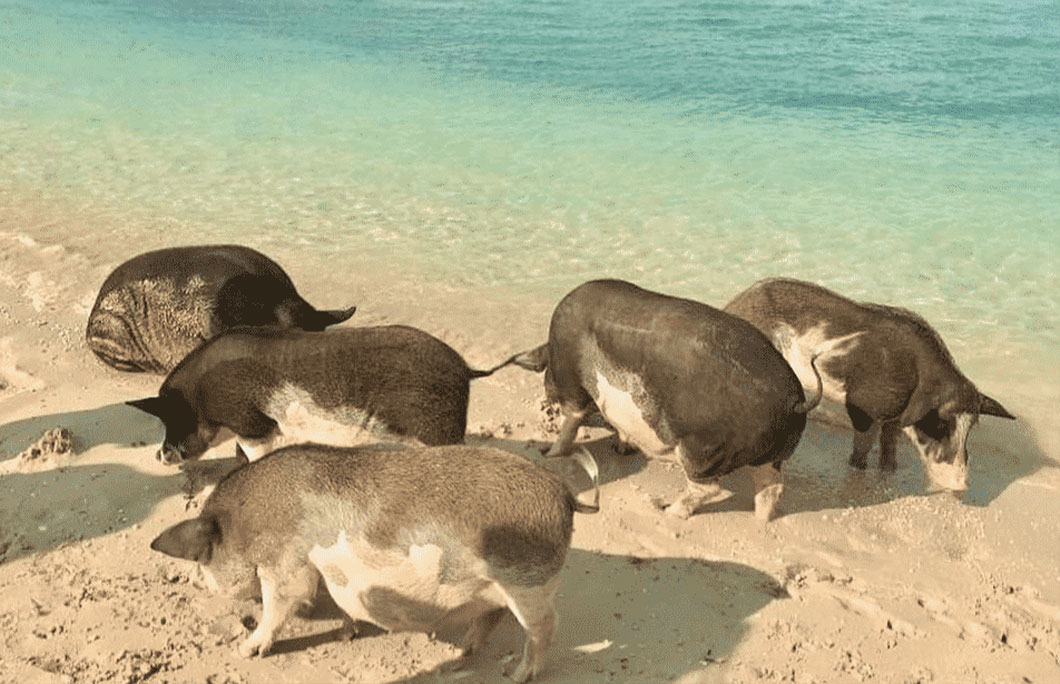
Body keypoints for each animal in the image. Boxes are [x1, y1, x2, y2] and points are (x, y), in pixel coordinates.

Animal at [128, 324, 517, 464]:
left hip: (438, 430)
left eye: (171, 417)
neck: (199, 394)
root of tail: (466, 369)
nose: (159, 456)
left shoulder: (252, 422)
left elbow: (253, 453)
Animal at [148, 441, 602, 678]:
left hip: (530, 584)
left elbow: (280, 605)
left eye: (203, 559)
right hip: (501, 589)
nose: (198, 581)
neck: (246, 521)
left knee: (544, 629)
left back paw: (516, 675)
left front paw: (244, 650)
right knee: (492, 616)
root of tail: (565, 495)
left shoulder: (286, 563)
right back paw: (461, 655)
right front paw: (346, 632)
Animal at [513, 277, 826, 517]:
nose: (545, 400)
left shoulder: (571, 384)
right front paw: (621, 448)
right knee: (772, 487)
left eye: (545, 373)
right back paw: (761, 522)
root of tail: (794, 403)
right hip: (772, 456)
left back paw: (668, 511)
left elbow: (571, 423)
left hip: (702, 449)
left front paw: (548, 453)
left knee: (709, 488)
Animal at [725, 275, 1013, 494]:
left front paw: (890, 471)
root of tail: (735, 304)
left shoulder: (895, 417)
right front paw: (857, 470)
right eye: (940, 423)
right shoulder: (861, 405)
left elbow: (889, 444)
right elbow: (863, 445)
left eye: (971, 427)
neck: (916, 378)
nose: (963, 486)